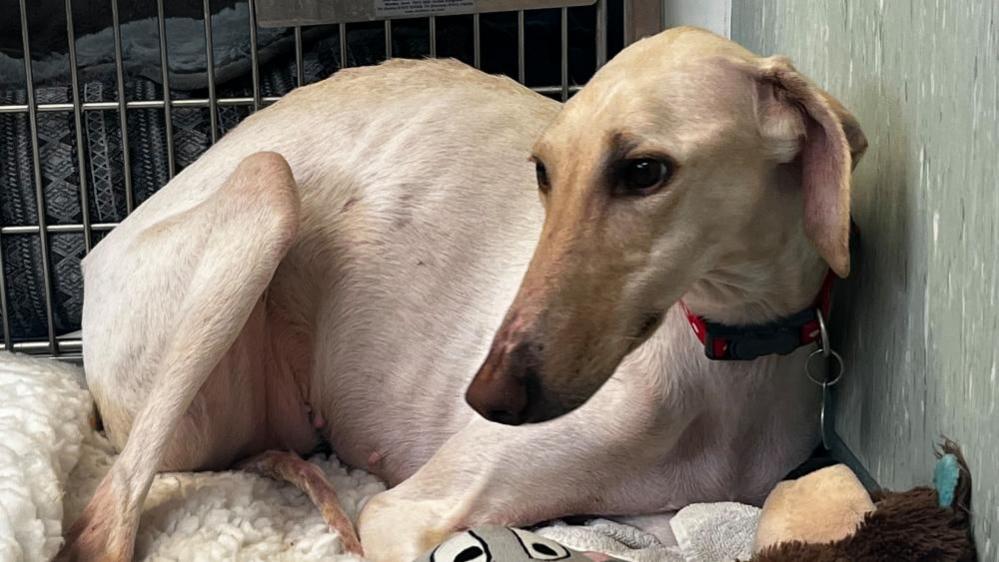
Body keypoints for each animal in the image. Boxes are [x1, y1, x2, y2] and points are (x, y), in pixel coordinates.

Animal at [56, 26, 868, 560]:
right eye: (542, 170)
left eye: (643, 171)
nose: (485, 398)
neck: (722, 351)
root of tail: (97, 253)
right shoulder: (405, 510)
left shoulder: (675, 514)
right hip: (264, 192)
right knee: (107, 513)